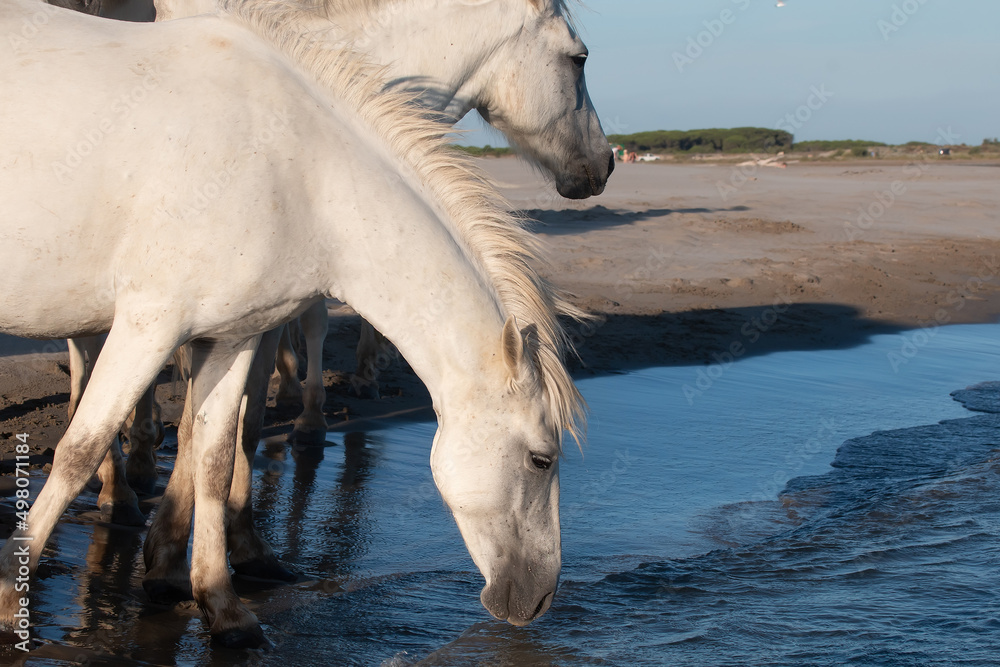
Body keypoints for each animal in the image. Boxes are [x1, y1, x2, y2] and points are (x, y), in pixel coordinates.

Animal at [0, 0, 585, 649]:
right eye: (541, 460)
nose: (540, 599)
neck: (300, 172)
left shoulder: (230, 336)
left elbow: (214, 453)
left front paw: (221, 603)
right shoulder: (149, 324)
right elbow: (81, 447)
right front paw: (10, 599)